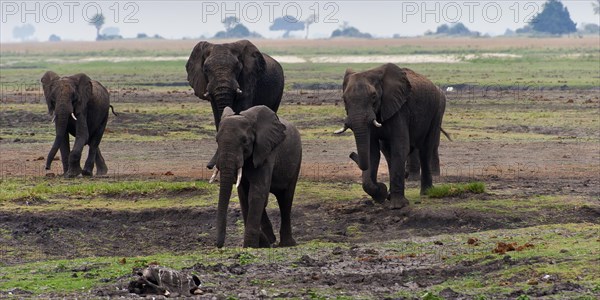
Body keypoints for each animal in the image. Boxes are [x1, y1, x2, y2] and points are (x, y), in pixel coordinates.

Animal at [184, 40, 284, 169]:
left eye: (237, 68)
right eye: (205, 69)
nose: (209, 166)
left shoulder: (248, 80)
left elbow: (242, 111)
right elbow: (217, 116)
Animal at [213, 105, 302, 248]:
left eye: (244, 141)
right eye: (217, 140)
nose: (219, 245)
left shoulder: (267, 151)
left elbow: (256, 193)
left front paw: (250, 246)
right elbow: (244, 195)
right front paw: (263, 243)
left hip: (297, 159)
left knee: (286, 200)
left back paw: (287, 244)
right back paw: (271, 240)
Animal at [336, 63, 448, 210]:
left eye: (373, 96)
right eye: (344, 99)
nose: (351, 154)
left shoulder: (400, 110)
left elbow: (400, 148)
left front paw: (396, 206)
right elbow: (372, 152)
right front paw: (382, 194)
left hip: (435, 111)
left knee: (426, 149)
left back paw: (426, 192)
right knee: (388, 152)